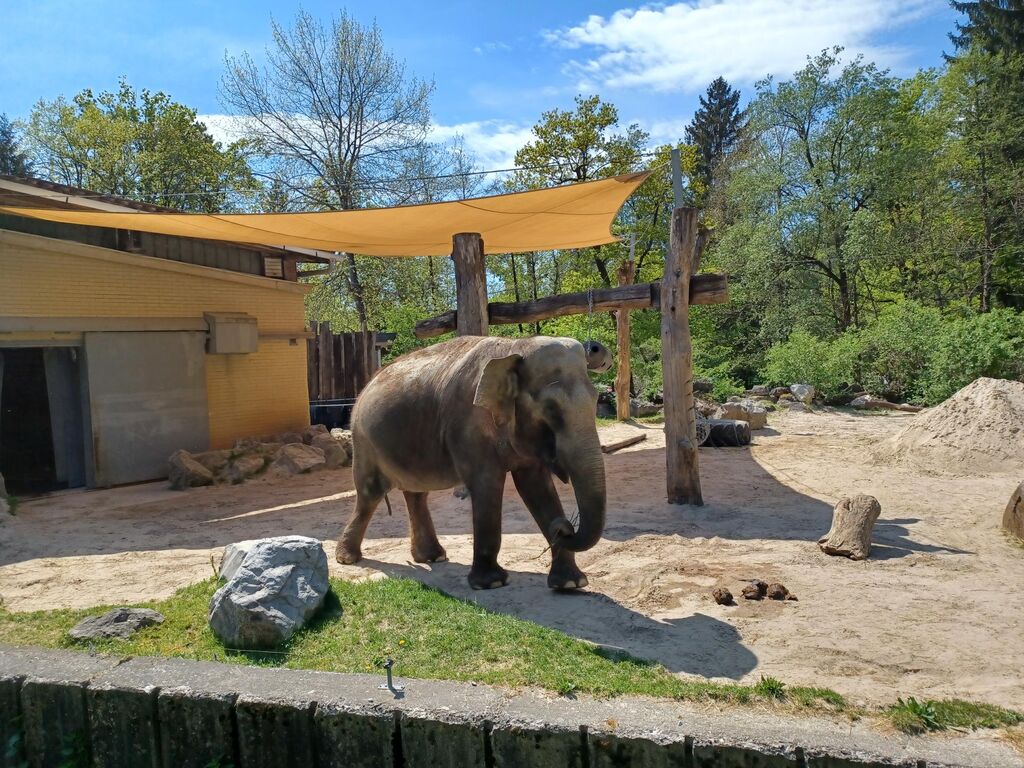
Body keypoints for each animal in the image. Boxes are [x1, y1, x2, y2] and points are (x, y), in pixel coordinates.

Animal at [335, 335, 611, 591]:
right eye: (551, 408)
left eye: (596, 400)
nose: (564, 528)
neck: (514, 347)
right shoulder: (468, 425)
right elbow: (487, 485)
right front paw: (492, 583)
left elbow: (537, 487)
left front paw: (571, 584)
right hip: (363, 440)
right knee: (370, 494)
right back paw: (347, 559)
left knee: (417, 493)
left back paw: (432, 557)